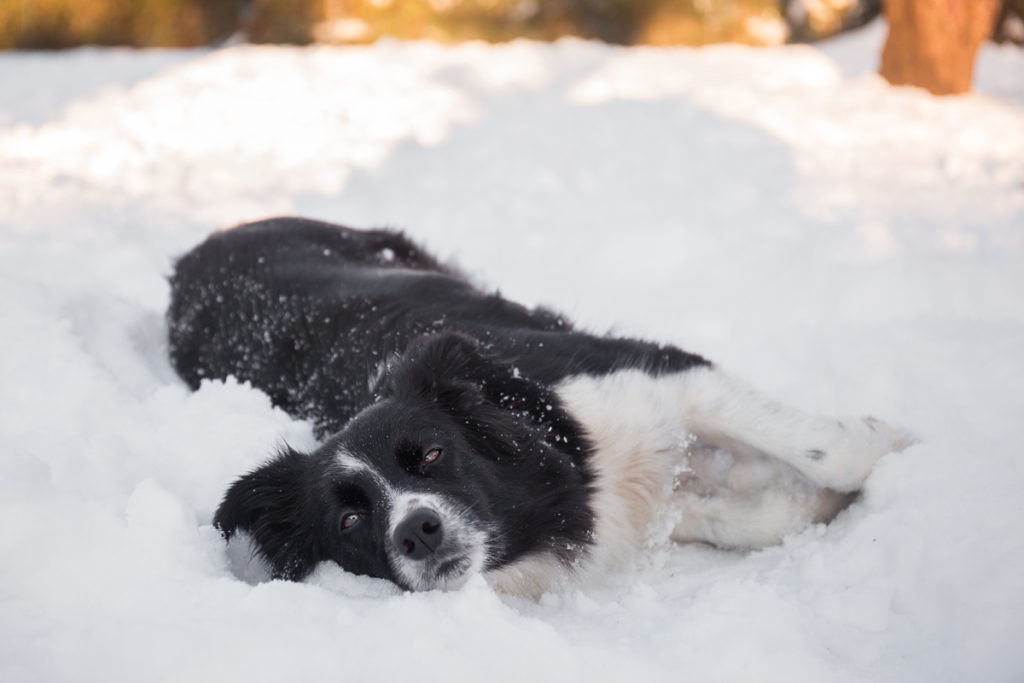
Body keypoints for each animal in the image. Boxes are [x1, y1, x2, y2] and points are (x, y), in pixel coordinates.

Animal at [167, 219, 913, 598]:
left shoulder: (651, 372)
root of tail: (192, 253)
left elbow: (829, 449)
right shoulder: (626, 501)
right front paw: (810, 505)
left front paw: (894, 446)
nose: (418, 533)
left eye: (433, 452)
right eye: (350, 519)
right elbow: (747, 516)